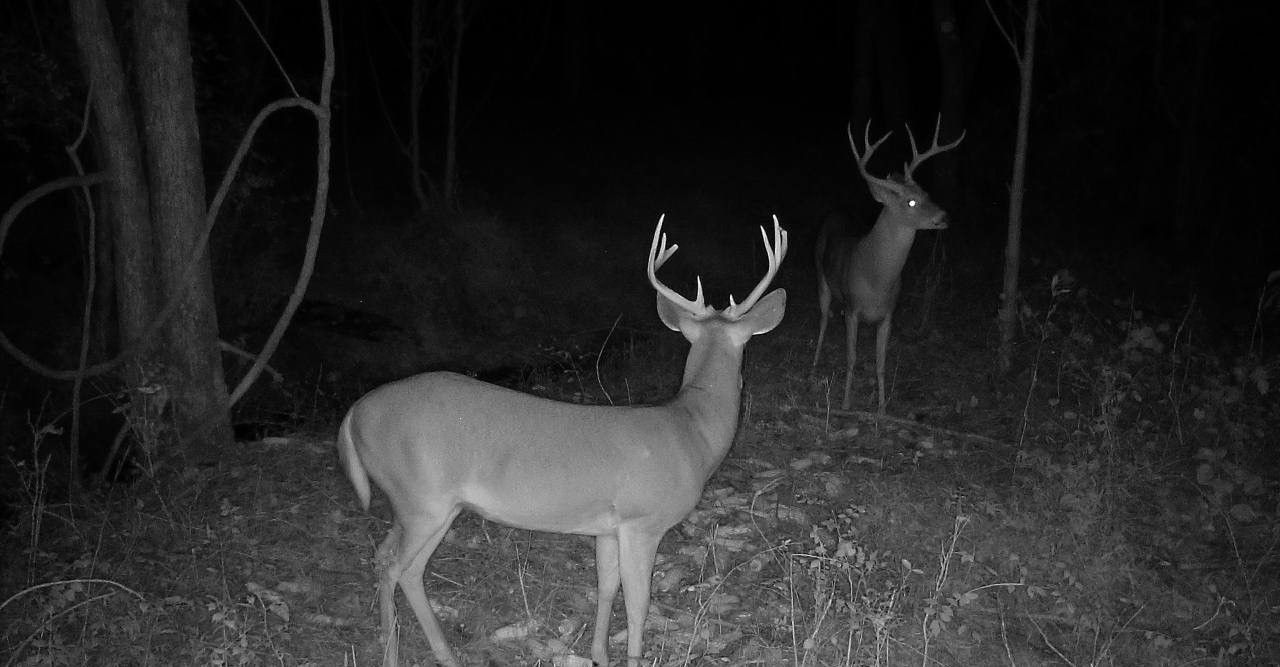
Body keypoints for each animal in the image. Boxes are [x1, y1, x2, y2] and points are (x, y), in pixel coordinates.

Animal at [337, 215, 787, 667]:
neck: (692, 431)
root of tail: (353, 413)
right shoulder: (642, 521)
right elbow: (638, 604)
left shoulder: (607, 528)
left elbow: (606, 587)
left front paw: (599, 654)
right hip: (421, 499)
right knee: (397, 567)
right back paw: (407, 654)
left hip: (424, 505)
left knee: (391, 561)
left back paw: (427, 650)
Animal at [812, 115, 964, 413]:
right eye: (911, 201)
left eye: (926, 192)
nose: (945, 217)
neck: (877, 279)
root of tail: (837, 210)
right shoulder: (852, 309)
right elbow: (852, 358)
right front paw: (845, 403)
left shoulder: (889, 314)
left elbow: (881, 363)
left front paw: (882, 409)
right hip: (821, 277)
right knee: (823, 319)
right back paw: (814, 363)